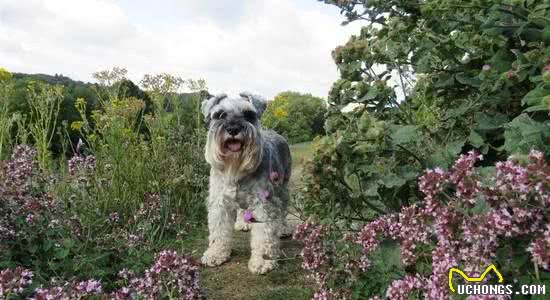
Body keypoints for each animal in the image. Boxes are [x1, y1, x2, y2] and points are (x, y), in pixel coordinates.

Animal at [199, 91, 294, 274]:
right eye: (220, 114)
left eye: (249, 114)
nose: (233, 129)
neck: (237, 169)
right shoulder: (219, 202)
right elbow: (218, 230)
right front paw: (216, 253)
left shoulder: (264, 202)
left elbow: (264, 234)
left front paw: (262, 261)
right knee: (242, 209)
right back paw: (243, 223)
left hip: (283, 188)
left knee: (283, 210)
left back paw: (284, 228)